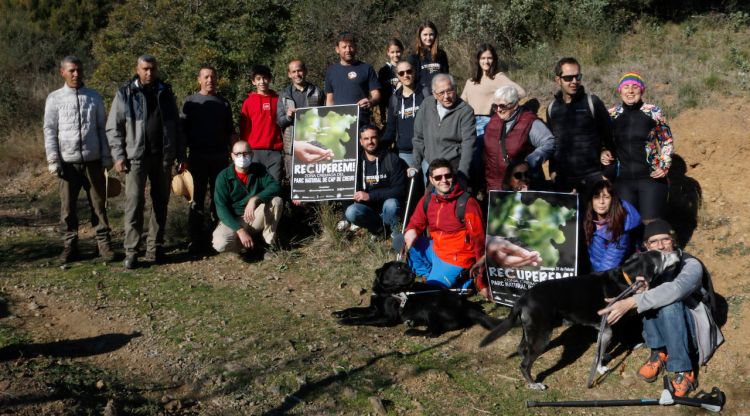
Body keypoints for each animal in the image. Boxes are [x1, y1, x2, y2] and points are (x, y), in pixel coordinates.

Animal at [334, 262, 500, 336]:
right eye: (399, 268)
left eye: (409, 267)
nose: (414, 275)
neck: (386, 292)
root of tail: (465, 306)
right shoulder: (373, 309)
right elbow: (354, 309)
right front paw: (339, 313)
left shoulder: (386, 317)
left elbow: (362, 319)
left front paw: (346, 321)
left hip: (431, 308)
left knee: (434, 332)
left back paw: (413, 331)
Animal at [482, 250, 680, 390]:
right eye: (663, 255)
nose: (678, 250)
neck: (627, 278)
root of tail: (523, 298)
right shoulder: (607, 329)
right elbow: (600, 353)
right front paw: (601, 367)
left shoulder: (606, 329)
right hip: (541, 336)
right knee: (524, 364)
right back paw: (533, 384)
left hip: (531, 330)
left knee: (521, 349)